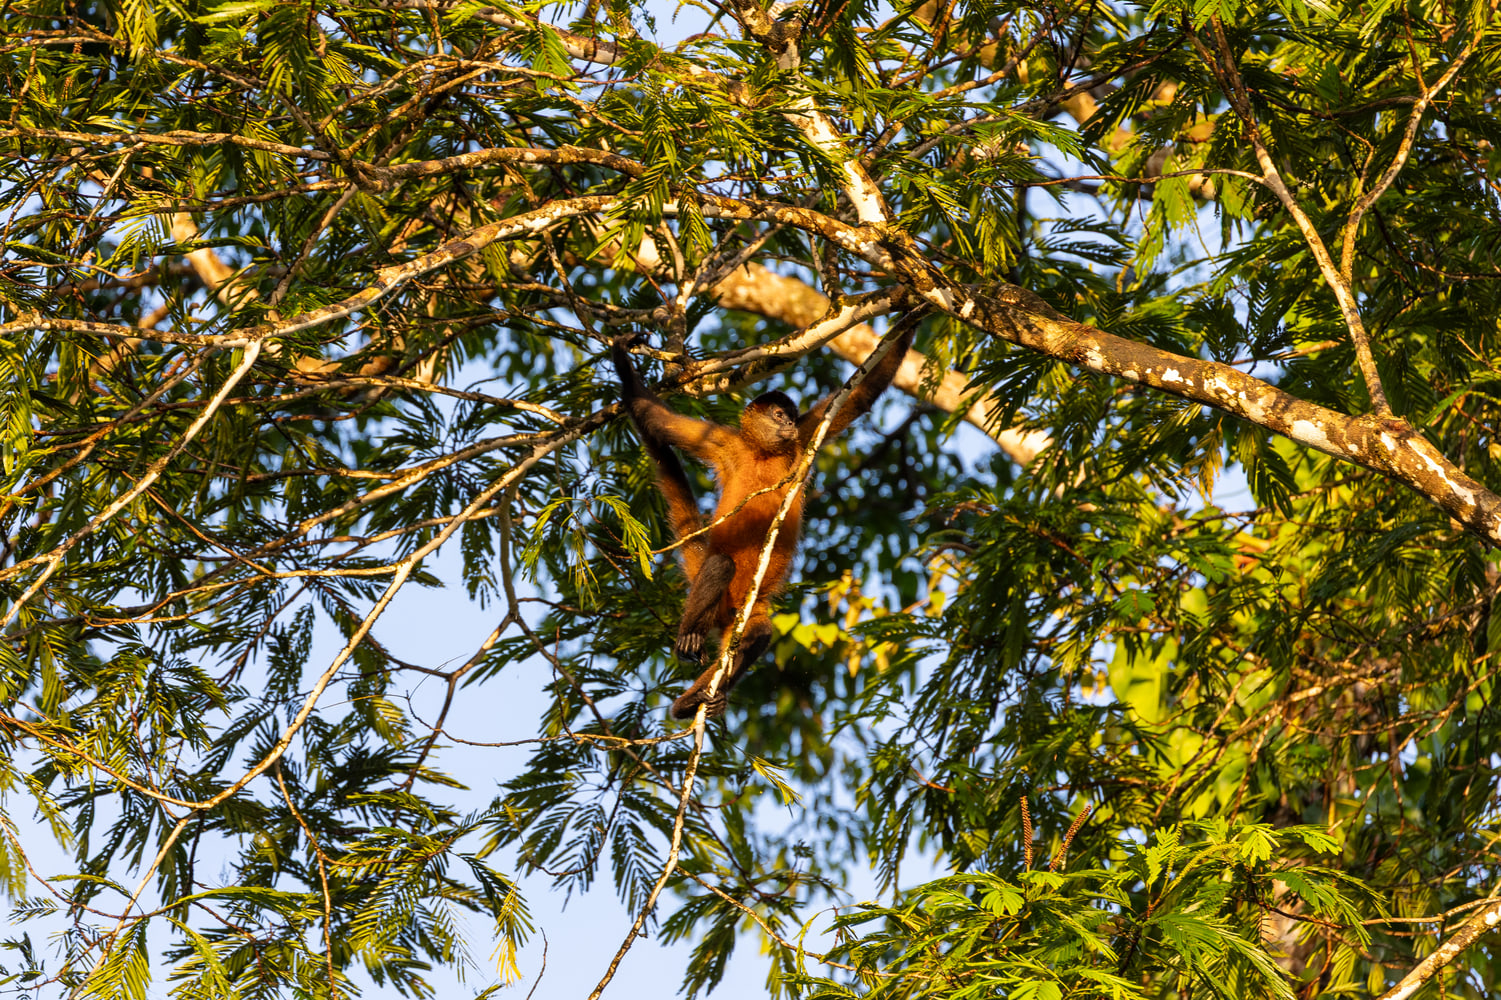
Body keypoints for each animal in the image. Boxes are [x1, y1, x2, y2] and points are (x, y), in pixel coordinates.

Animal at [612, 322, 914, 720]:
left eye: (790, 416)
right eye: (777, 414)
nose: (787, 423)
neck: (763, 453)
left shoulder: (803, 436)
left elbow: (861, 396)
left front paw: (913, 315)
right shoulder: (724, 443)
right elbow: (659, 420)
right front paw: (620, 355)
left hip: (744, 613)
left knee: (758, 634)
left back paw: (696, 699)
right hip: (719, 603)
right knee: (720, 564)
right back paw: (689, 642)